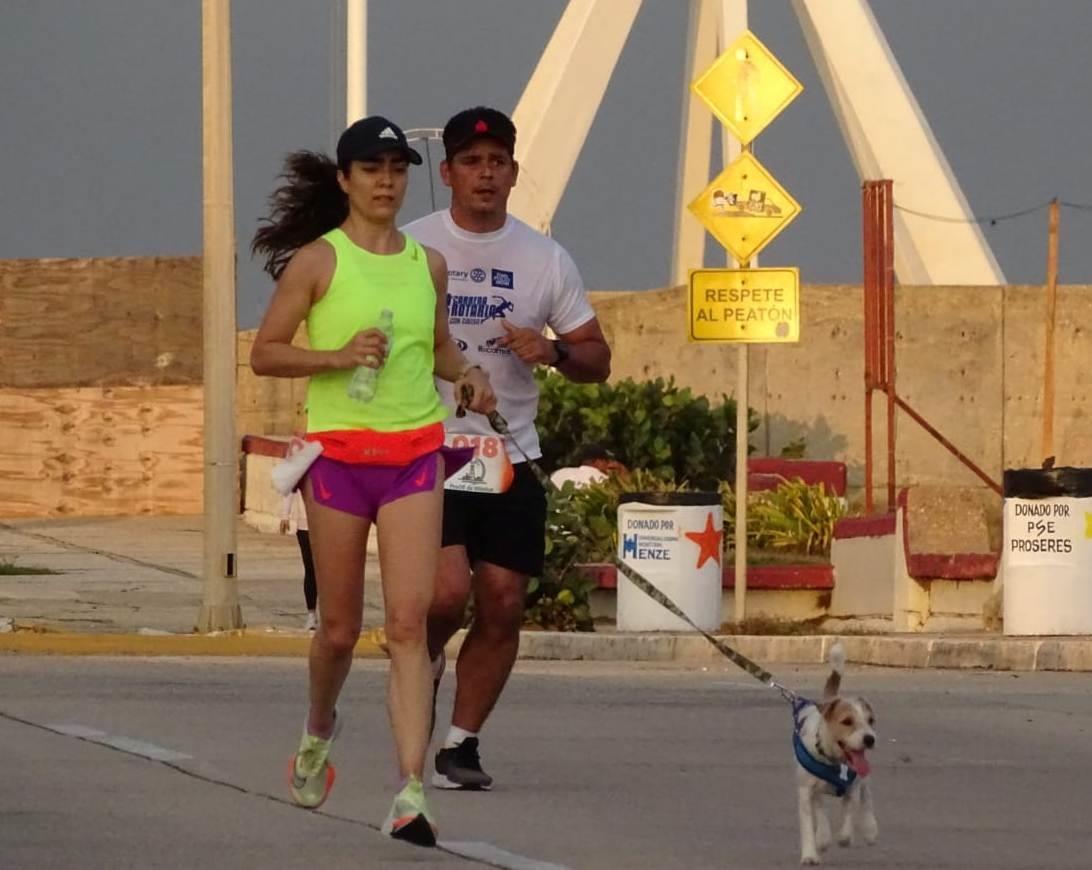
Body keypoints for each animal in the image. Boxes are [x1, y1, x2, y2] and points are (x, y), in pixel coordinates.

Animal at [794, 641, 877, 860]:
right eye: (847, 721)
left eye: (871, 720)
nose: (870, 739)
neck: (834, 760)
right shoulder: (805, 791)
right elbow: (810, 821)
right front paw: (811, 853)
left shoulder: (852, 786)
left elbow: (850, 812)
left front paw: (845, 837)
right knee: (820, 805)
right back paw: (823, 836)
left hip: (862, 781)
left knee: (867, 795)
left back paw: (870, 829)